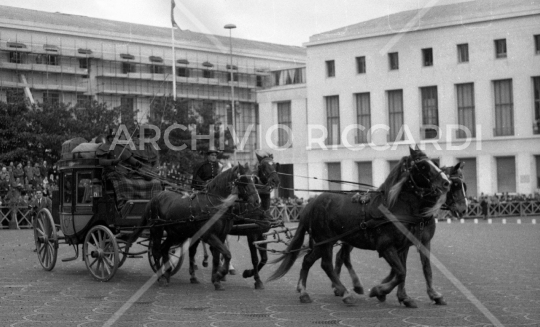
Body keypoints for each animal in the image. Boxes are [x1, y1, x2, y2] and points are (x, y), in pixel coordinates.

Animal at [129, 164, 260, 290]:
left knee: (164, 249)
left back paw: (167, 273)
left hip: (176, 233)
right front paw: (220, 274)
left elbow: (217, 257)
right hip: (157, 230)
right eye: (244, 180)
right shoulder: (209, 235)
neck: (216, 204)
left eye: (254, 179)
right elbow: (227, 254)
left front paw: (216, 280)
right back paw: (161, 277)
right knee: (156, 251)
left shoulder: (221, 236)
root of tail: (153, 199)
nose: (257, 201)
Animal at [268, 149, 450, 308]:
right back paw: (344, 293)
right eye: (423, 166)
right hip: (325, 241)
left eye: (434, 163)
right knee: (326, 264)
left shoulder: (404, 246)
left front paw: (404, 297)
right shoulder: (386, 247)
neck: (394, 207)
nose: (446, 182)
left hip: (324, 242)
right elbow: (400, 272)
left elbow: (410, 270)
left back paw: (305, 292)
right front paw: (379, 291)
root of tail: (311, 203)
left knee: (309, 260)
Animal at [334, 163, 468, 308]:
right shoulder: (401, 243)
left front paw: (433, 295)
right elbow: (402, 268)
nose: (463, 209)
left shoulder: (422, 242)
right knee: (343, 256)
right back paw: (347, 287)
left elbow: (425, 268)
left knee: (340, 256)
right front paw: (391, 293)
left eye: (464, 185)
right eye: (453, 185)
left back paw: (339, 286)